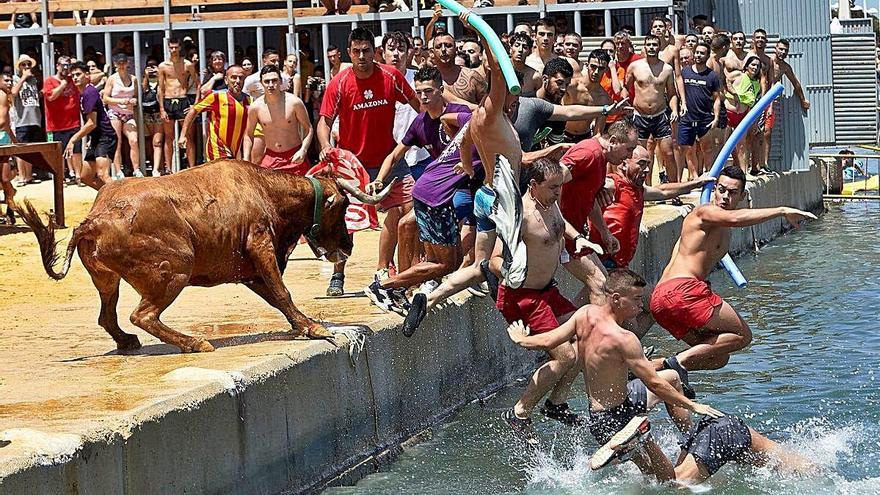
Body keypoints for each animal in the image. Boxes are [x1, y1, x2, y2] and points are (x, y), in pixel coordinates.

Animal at [14, 159, 388, 352]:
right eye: (343, 206)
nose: (347, 245)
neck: (267, 190)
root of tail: (97, 218)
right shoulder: (261, 247)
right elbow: (282, 292)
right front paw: (315, 328)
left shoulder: (251, 270)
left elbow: (275, 296)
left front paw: (304, 324)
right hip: (176, 268)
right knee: (142, 315)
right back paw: (194, 342)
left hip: (107, 278)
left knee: (109, 316)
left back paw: (128, 342)